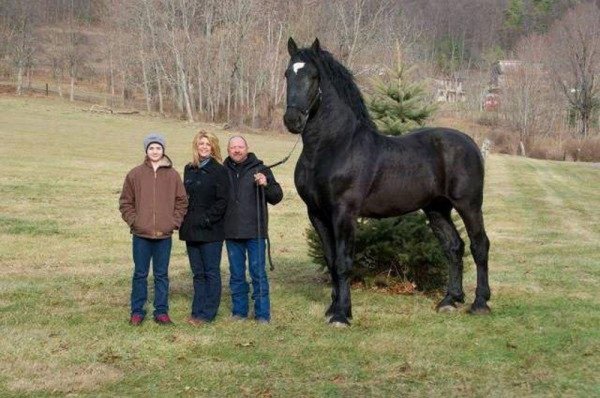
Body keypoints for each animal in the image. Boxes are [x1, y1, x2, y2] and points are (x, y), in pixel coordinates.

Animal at [284, 37, 490, 324]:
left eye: (313, 76)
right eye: (287, 74)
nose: (292, 120)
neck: (333, 146)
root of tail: (469, 141)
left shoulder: (343, 213)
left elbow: (343, 262)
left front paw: (342, 315)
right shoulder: (316, 213)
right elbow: (330, 260)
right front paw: (333, 308)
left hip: (468, 205)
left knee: (479, 245)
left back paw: (480, 303)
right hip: (437, 208)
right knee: (453, 247)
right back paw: (450, 300)